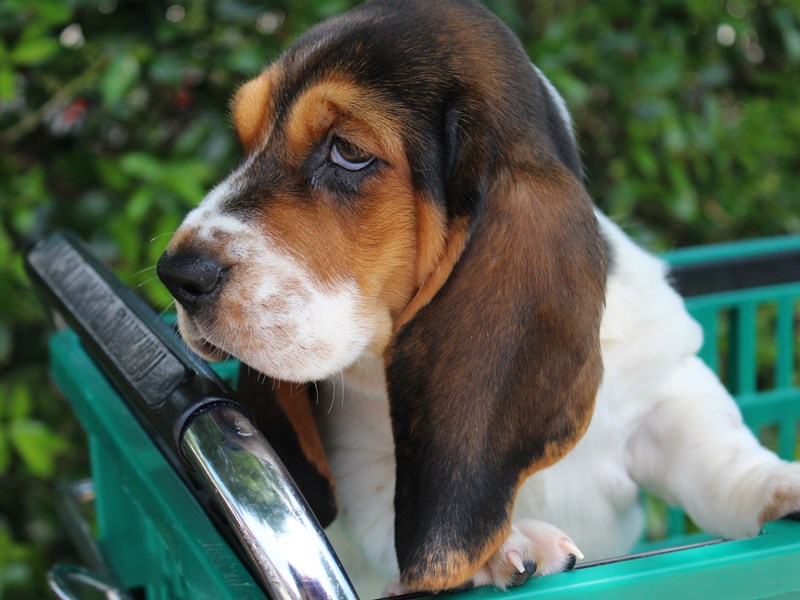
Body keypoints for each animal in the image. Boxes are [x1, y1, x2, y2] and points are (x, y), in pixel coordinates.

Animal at [158, 0, 800, 592]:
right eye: (245, 141)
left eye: (349, 152)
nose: (175, 274)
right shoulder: (363, 463)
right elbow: (393, 512)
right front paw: (503, 545)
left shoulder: (668, 388)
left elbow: (718, 455)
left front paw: (783, 481)